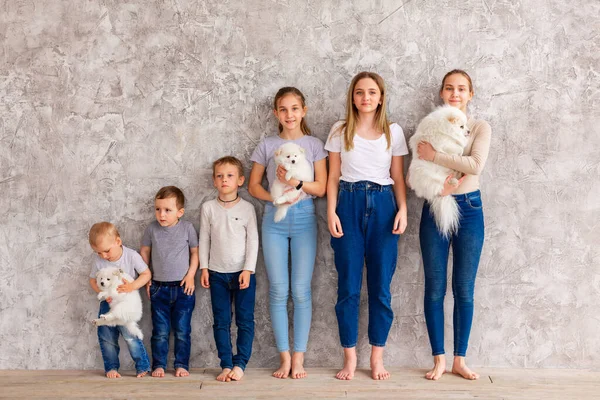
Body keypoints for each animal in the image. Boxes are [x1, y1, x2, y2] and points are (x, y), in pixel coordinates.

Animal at [406, 106, 472, 236]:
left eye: (465, 125)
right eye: (461, 126)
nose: (469, 131)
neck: (442, 126)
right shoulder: (442, 141)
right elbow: (456, 145)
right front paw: (460, 149)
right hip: (429, 176)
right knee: (439, 186)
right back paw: (453, 182)